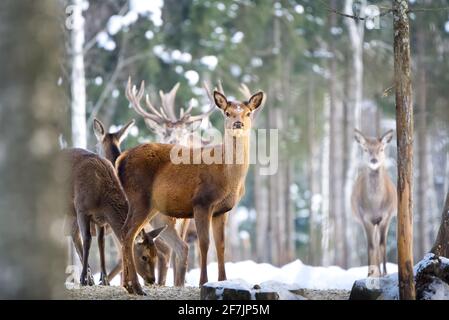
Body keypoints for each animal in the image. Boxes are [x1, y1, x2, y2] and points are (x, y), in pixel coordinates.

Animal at [118, 77, 266, 296]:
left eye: (248, 113)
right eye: (227, 112)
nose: (238, 123)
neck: (228, 176)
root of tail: (121, 158)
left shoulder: (222, 210)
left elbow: (221, 246)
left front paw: (223, 281)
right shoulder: (202, 202)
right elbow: (205, 243)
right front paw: (203, 282)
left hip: (150, 206)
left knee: (127, 233)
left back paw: (129, 285)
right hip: (140, 198)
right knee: (128, 234)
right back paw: (136, 286)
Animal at [350, 129, 396, 276]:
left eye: (381, 149)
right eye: (365, 149)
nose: (374, 160)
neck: (375, 205)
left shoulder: (386, 216)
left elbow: (382, 244)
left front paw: (385, 273)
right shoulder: (365, 218)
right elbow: (370, 246)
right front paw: (370, 274)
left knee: (378, 243)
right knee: (373, 244)